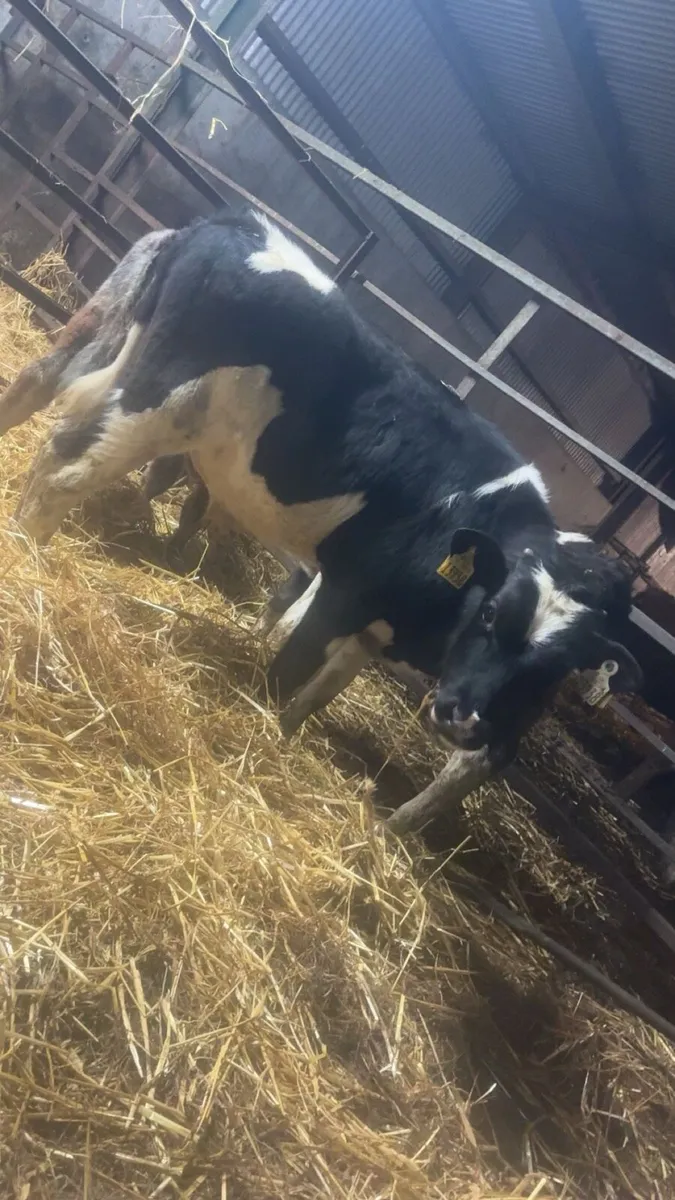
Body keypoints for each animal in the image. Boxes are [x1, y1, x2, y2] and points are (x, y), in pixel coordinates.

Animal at [5, 209, 642, 799]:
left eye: (555, 669)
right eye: (490, 613)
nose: (465, 721)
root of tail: (236, 222)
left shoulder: (371, 629)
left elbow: (315, 696)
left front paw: (286, 731)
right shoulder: (343, 592)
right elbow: (288, 673)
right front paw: (261, 734)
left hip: (101, 336)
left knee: (29, 389)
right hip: (160, 403)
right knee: (65, 467)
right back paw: (30, 559)